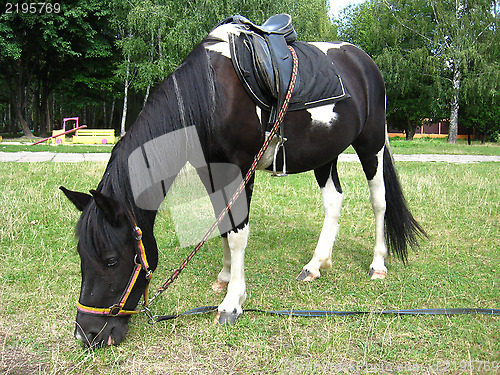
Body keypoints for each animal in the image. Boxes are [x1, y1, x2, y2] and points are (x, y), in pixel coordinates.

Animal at [60, 16, 424, 346]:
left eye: (111, 260)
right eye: (80, 254)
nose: (86, 334)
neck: (210, 97)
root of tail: (363, 61)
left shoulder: (239, 170)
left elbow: (237, 235)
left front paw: (232, 303)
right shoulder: (212, 170)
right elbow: (223, 225)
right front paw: (223, 278)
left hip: (371, 144)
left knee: (379, 201)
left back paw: (378, 264)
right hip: (326, 154)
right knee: (334, 201)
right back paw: (316, 265)